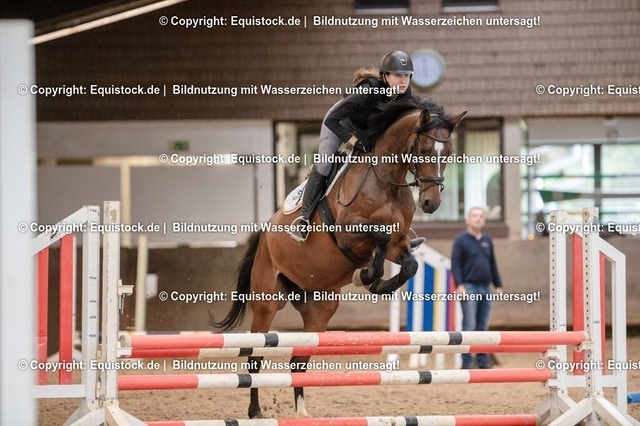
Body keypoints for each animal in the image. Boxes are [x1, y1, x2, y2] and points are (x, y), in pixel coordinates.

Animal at [211, 96, 466, 418]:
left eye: (449, 154)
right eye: (423, 151)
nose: (431, 203)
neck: (386, 180)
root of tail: (266, 231)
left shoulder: (399, 245)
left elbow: (409, 264)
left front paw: (376, 282)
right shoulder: (348, 233)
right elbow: (379, 235)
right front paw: (367, 276)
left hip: (319, 307)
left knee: (298, 361)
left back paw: (302, 413)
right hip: (267, 302)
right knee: (256, 356)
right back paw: (256, 411)